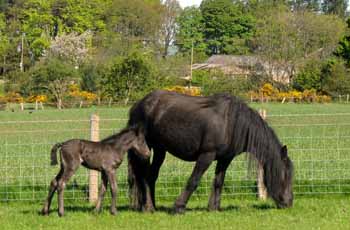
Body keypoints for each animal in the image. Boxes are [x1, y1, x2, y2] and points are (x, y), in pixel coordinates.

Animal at [127, 90, 294, 214]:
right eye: (285, 175)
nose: (289, 203)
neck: (230, 123)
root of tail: (138, 104)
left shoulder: (225, 159)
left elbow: (219, 182)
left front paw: (214, 208)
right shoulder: (206, 156)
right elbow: (193, 181)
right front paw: (178, 207)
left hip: (160, 149)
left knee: (151, 176)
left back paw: (152, 206)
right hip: (146, 147)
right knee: (143, 176)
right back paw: (148, 207)